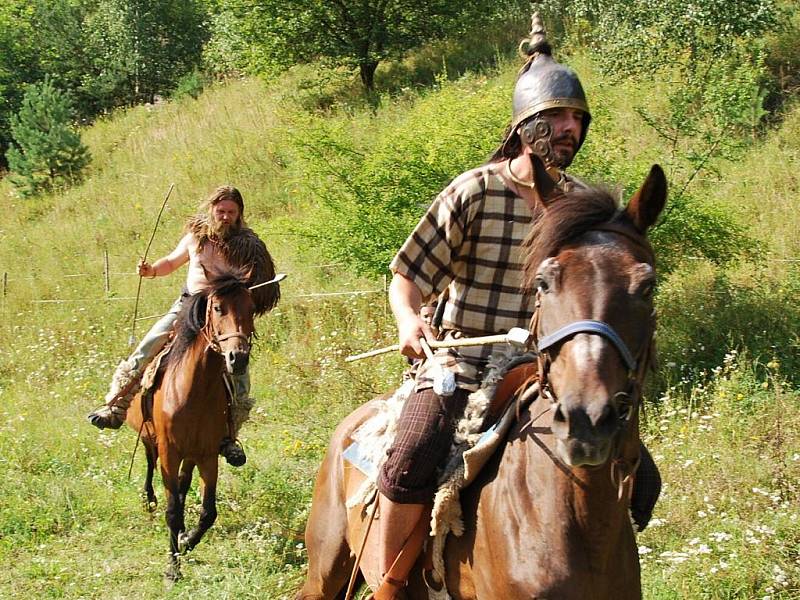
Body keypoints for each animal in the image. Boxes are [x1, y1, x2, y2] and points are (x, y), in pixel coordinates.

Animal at [126, 272, 255, 580]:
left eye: (252, 308)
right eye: (218, 308)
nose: (238, 358)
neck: (192, 391)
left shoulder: (207, 454)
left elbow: (208, 512)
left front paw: (185, 542)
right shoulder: (169, 453)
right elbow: (172, 510)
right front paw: (172, 568)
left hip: (192, 453)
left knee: (184, 484)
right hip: (150, 438)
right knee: (149, 463)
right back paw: (148, 499)